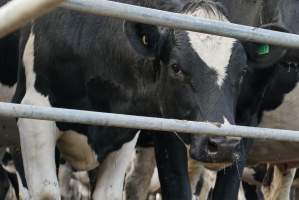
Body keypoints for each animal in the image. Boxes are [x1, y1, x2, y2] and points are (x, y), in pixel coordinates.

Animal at [11, 0, 251, 198]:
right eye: (176, 67)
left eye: (242, 72)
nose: (225, 145)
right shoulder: (32, 114)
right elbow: (45, 193)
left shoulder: (123, 131)